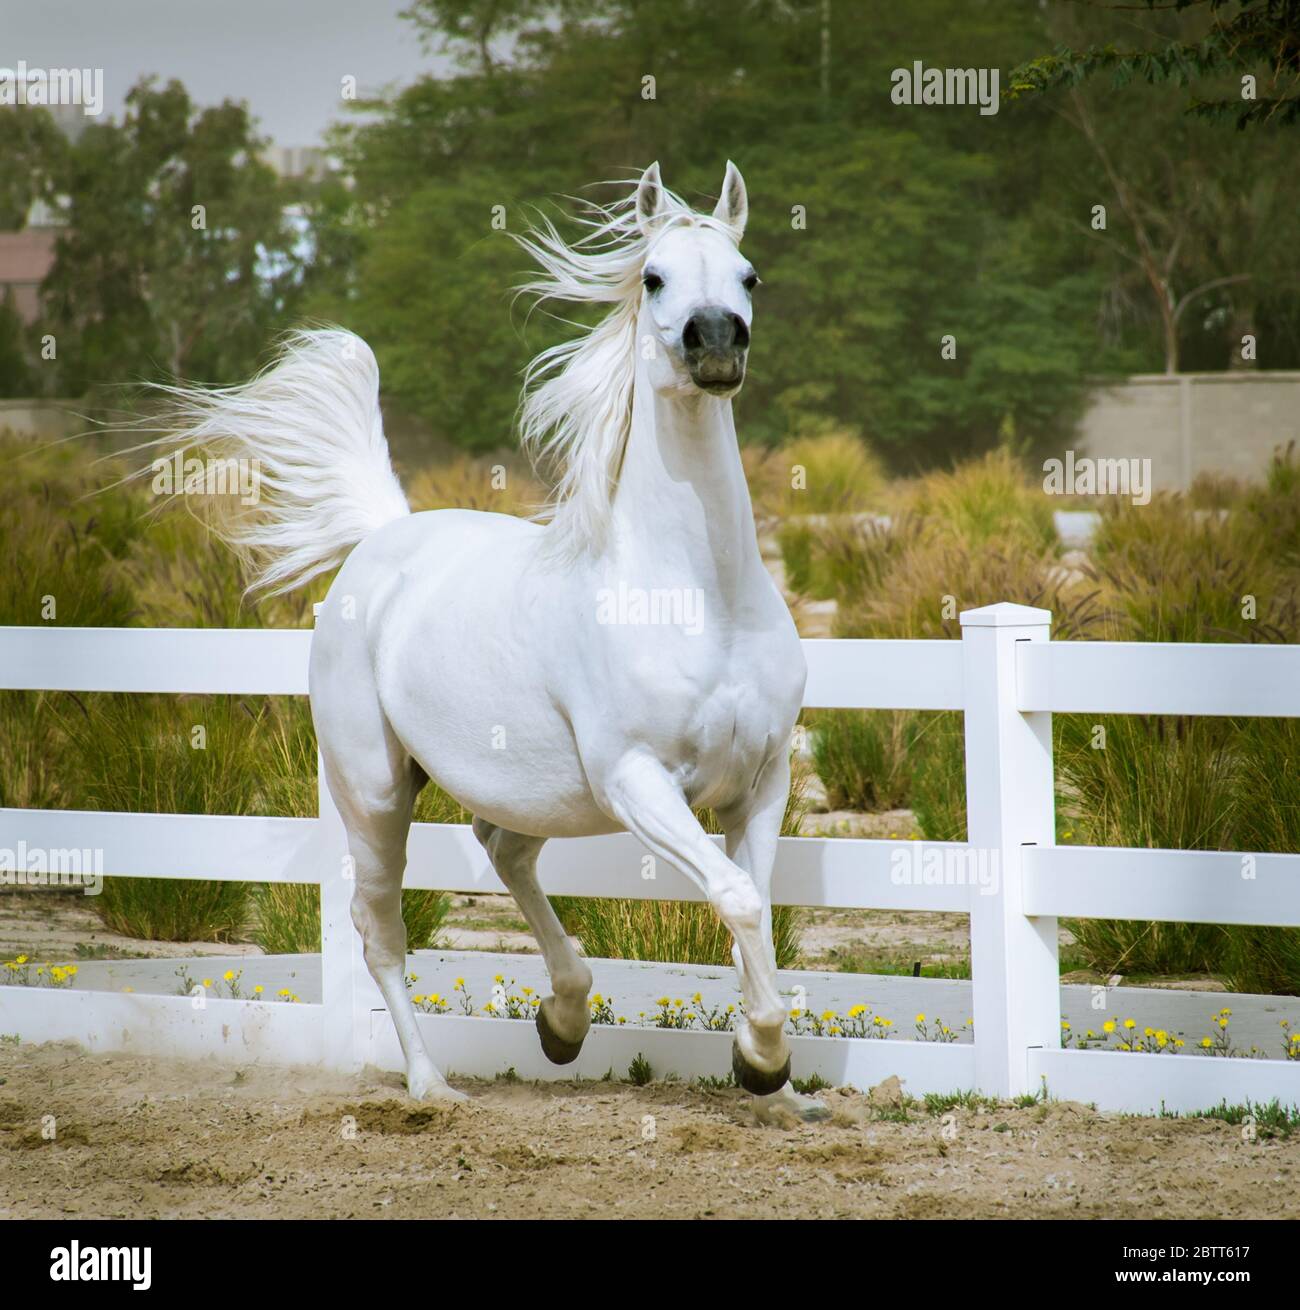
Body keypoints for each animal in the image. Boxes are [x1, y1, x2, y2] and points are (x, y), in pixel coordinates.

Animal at [159, 161, 822, 1116]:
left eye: (749, 276)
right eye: (656, 278)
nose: (715, 343)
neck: (702, 597)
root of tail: (383, 537)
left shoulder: (761, 778)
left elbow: (756, 904)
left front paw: (769, 1072)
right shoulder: (639, 780)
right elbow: (735, 898)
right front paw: (764, 1058)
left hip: (525, 790)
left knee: (505, 854)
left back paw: (564, 1020)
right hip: (375, 791)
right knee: (378, 928)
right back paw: (432, 1083)